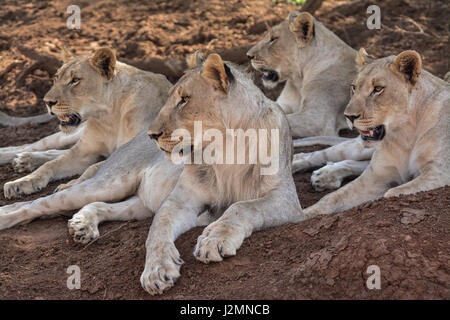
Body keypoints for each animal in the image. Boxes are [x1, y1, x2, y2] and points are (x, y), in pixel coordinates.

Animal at [0, 46, 171, 199]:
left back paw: (25, 160)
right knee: (38, 145)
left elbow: (92, 168)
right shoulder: (84, 151)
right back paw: (20, 158)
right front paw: (21, 182)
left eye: (75, 80)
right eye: (56, 78)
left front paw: (69, 185)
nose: (47, 102)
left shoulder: (131, 151)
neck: (109, 116)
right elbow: (51, 164)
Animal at [292, 50, 450, 219]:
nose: (349, 116)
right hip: (358, 148)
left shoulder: (439, 173)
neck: (405, 133)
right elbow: (332, 198)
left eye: (378, 88)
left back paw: (325, 175)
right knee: (319, 154)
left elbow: (391, 193)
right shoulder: (377, 175)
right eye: (354, 87)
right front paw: (301, 216)